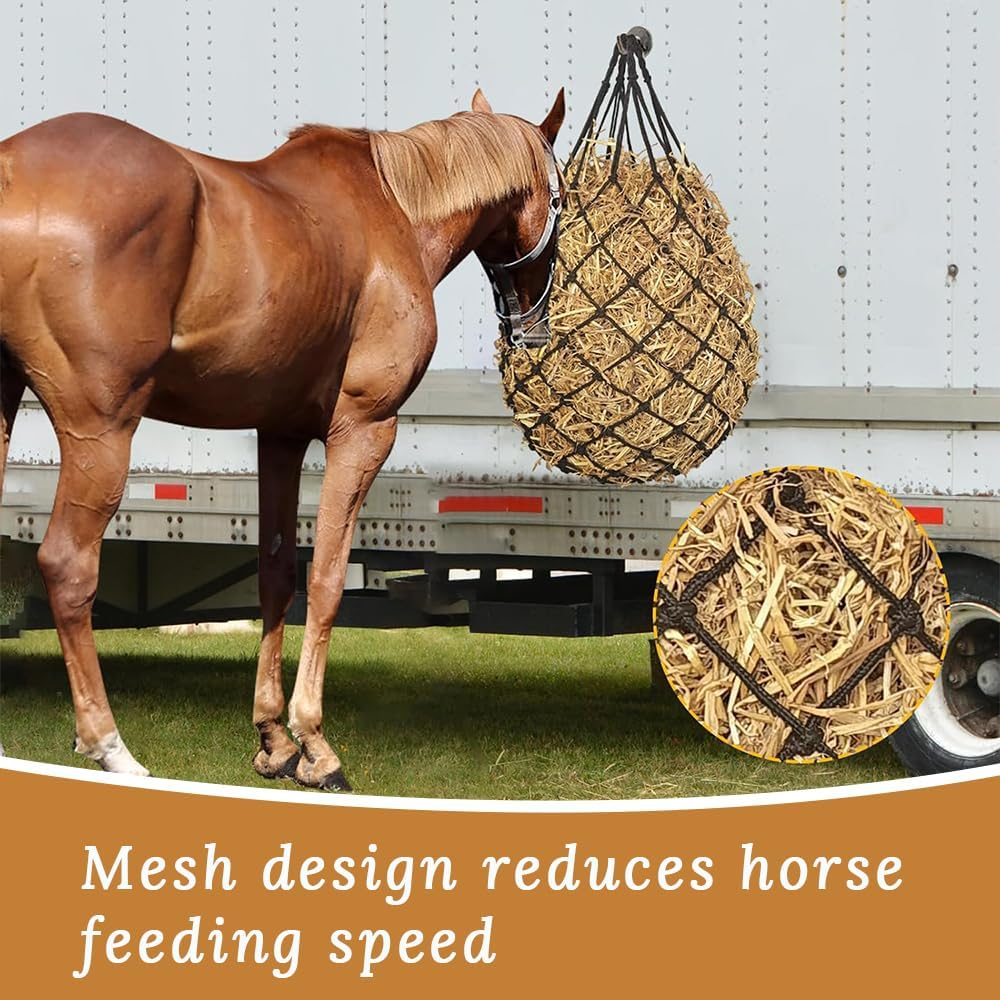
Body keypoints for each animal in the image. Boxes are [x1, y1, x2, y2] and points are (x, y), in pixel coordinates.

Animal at [0, 87, 565, 790]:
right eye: (561, 191)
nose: (532, 321)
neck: (391, 208)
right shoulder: (363, 429)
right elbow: (326, 578)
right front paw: (315, 745)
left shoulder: (279, 433)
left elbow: (277, 575)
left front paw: (272, 736)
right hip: (101, 430)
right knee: (68, 564)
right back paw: (109, 745)